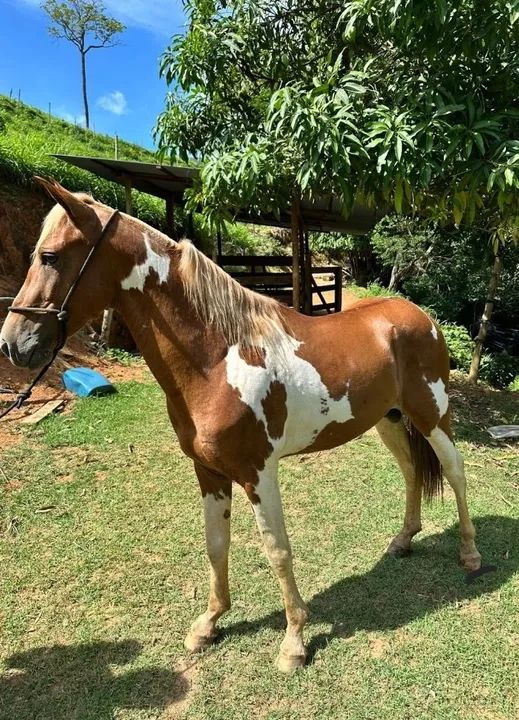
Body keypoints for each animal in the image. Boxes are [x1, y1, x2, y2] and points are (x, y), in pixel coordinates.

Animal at [0, 178, 482, 672]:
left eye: (50, 256)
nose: (12, 343)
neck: (218, 358)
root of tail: (421, 317)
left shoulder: (258, 472)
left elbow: (278, 550)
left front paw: (293, 642)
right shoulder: (209, 471)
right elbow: (216, 544)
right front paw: (208, 625)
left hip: (433, 416)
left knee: (455, 471)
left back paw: (470, 554)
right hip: (390, 420)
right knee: (411, 471)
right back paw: (402, 541)